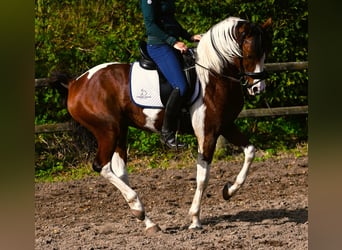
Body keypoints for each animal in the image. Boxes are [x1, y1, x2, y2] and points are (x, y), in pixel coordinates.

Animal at [52, 16, 272, 233]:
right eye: (250, 53)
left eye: (265, 52)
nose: (258, 88)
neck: (214, 75)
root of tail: (75, 83)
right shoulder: (207, 133)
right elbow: (203, 177)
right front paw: (195, 219)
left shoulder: (226, 126)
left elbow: (250, 151)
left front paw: (229, 191)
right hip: (108, 131)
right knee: (102, 167)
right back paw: (138, 208)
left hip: (120, 131)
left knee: (120, 171)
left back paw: (148, 221)